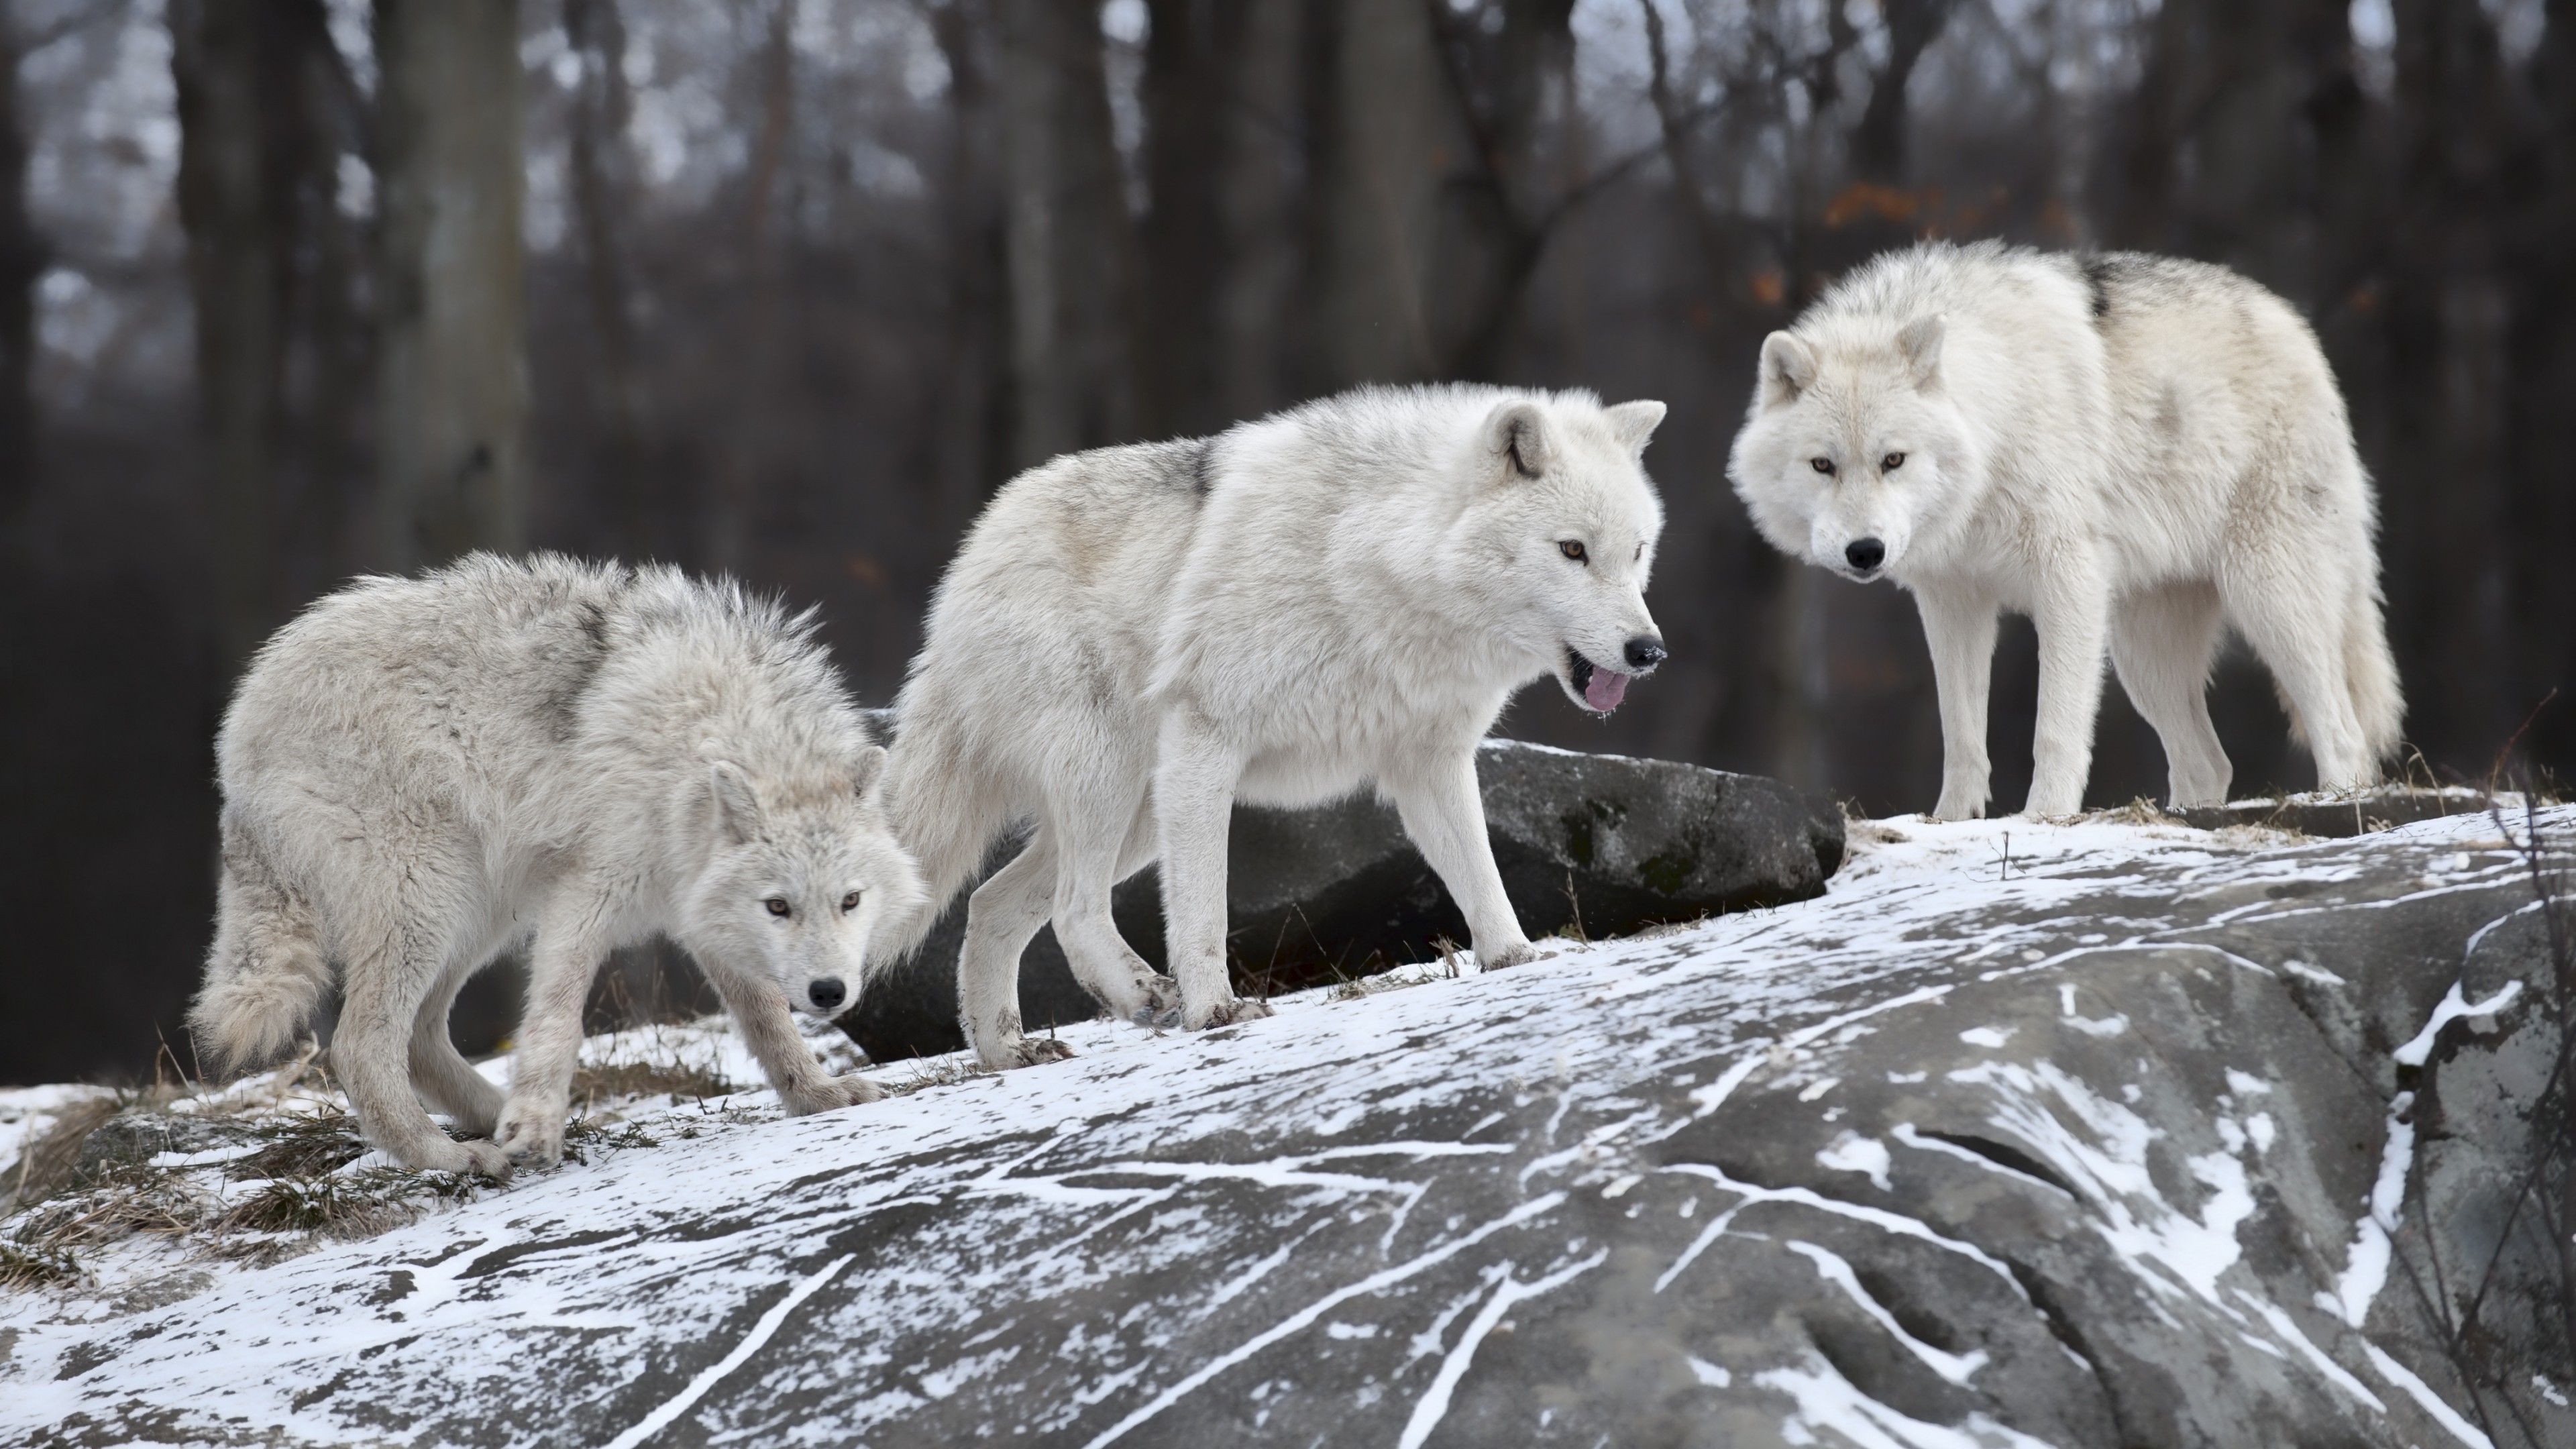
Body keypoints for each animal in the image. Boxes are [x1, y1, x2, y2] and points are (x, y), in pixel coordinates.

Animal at [190, 554, 926, 1177]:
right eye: (779, 906)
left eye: (850, 901)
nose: (830, 992)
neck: (696, 739)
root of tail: (240, 722)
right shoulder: (586, 893)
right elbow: (558, 1018)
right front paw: (536, 1122)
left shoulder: (698, 909)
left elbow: (768, 1020)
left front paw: (817, 1095)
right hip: (432, 900)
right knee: (360, 1048)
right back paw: (451, 1156)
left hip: (478, 913)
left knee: (421, 1040)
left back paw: (503, 1121)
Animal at [884, 384, 1669, 1069]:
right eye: (1572, 550)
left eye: (1636, 552)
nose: (1649, 651)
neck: (1371, 562)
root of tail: (971, 555)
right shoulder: (1207, 741)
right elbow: (1203, 909)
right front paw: (1215, 1012)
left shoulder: (1430, 763)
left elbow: (1480, 876)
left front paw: (1515, 960)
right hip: (1114, 780)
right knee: (1075, 909)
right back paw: (1142, 997)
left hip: (1139, 810)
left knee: (990, 903)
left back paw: (1008, 1054)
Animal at [1729, 241, 2401, 819]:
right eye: (1823, 465)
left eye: (1893, 460)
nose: (1865, 552)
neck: (1995, 423)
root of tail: (2296, 326)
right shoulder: (1952, 601)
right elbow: (1961, 735)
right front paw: (1951, 822)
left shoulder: (2067, 580)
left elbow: (2054, 728)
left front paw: (2044, 817)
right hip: (2143, 655)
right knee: (2210, 763)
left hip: (2267, 600)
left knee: (2343, 732)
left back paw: (2337, 801)